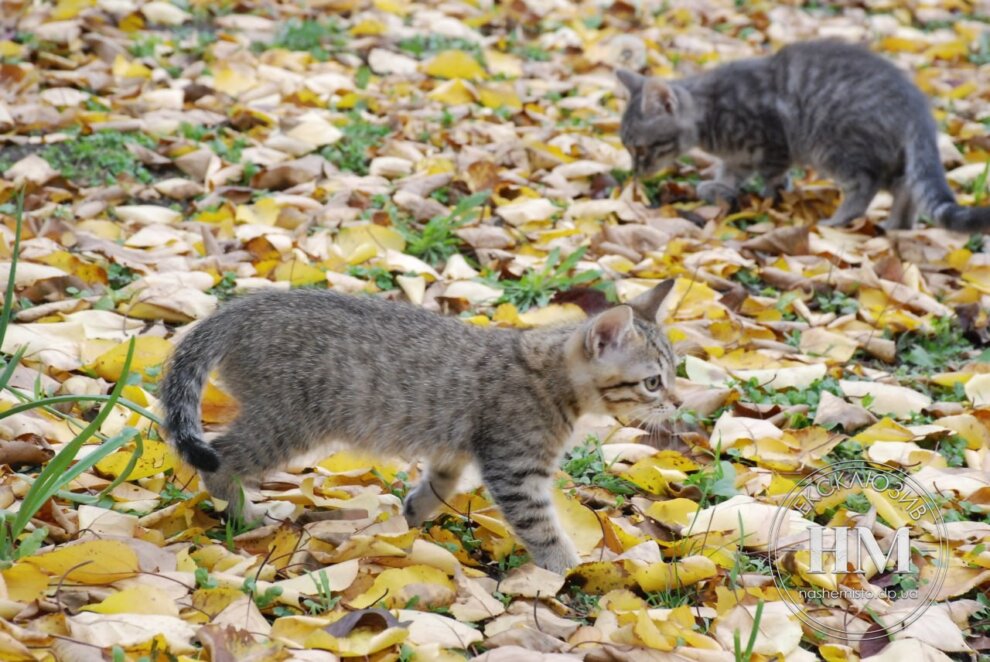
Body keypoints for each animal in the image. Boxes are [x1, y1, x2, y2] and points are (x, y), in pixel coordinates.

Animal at [163, 282, 684, 576]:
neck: (549, 374)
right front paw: (566, 569)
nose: (678, 402)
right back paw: (242, 513)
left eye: (674, 373)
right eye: (653, 382)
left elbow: (438, 485)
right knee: (219, 458)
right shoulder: (515, 469)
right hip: (288, 421)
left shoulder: (456, 453)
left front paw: (410, 518)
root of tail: (241, 308)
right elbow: (540, 525)